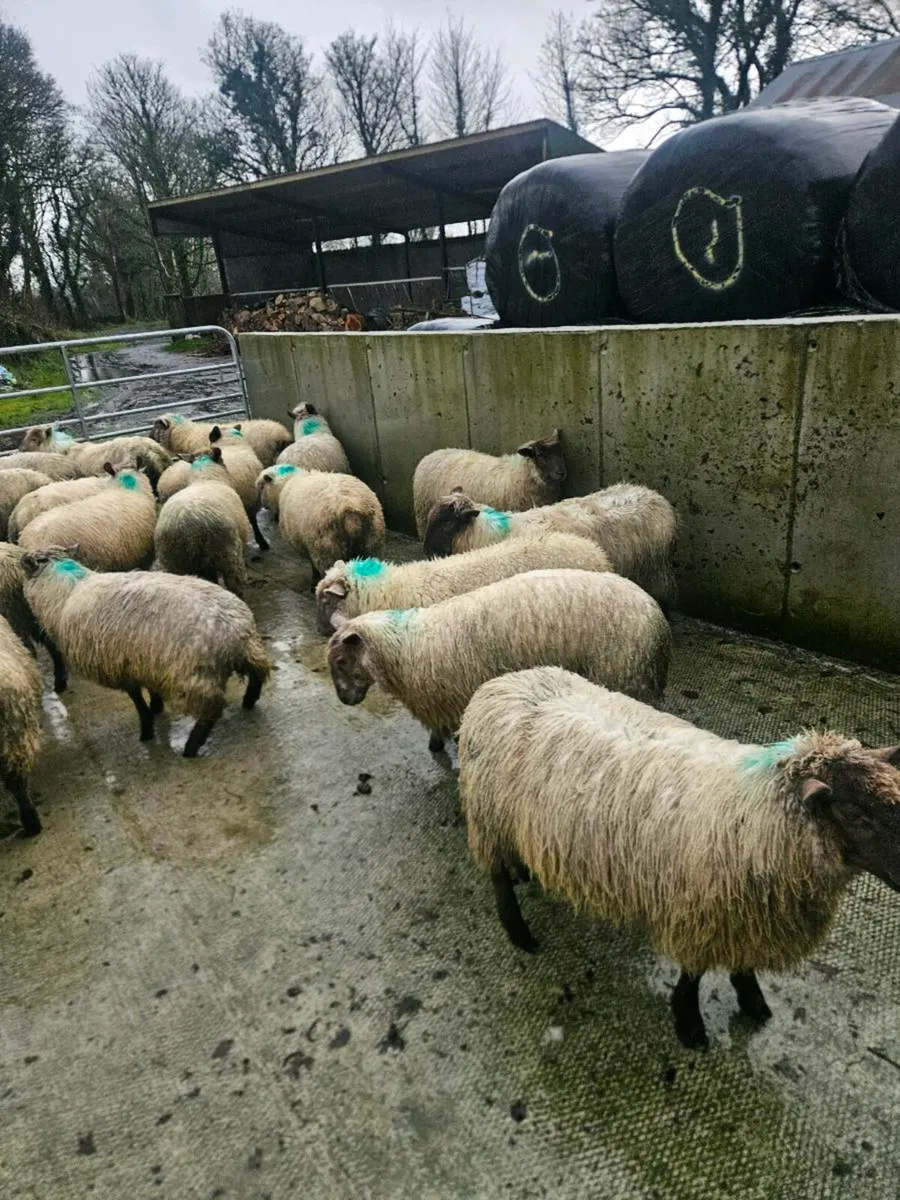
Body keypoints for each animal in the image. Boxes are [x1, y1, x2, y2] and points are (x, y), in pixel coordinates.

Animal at [22, 549, 271, 757]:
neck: (67, 592)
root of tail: (235, 634)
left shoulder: (120, 668)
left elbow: (137, 699)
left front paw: (147, 729)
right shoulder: (145, 661)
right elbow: (152, 690)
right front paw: (157, 708)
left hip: (194, 676)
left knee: (211, 710)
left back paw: (191, 747)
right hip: (249, 654)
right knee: (258, 674)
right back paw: (249, 701)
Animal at [327, 568, 670, 753]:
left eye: (342, 662)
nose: (344, 700)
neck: (403, 647)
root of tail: (658, 620)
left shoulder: (444, 701)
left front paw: (437, 745)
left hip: (623, 674)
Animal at [412, 431, 566, 537]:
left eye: (561, 452)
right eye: (540, 454)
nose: (561, 473)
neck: (522, 473)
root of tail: (431, 455)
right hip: (423, 514)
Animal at [459, 666, 900, 1049]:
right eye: (857, 815)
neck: (759, 813)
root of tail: (502, 681)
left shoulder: (747, 912)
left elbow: (742, 964)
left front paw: (752, 999)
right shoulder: (702, 909)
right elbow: (694, 973)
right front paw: (688, 1021)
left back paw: (526, 871)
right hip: (487, 815)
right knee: (496, 874)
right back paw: (518, 930)